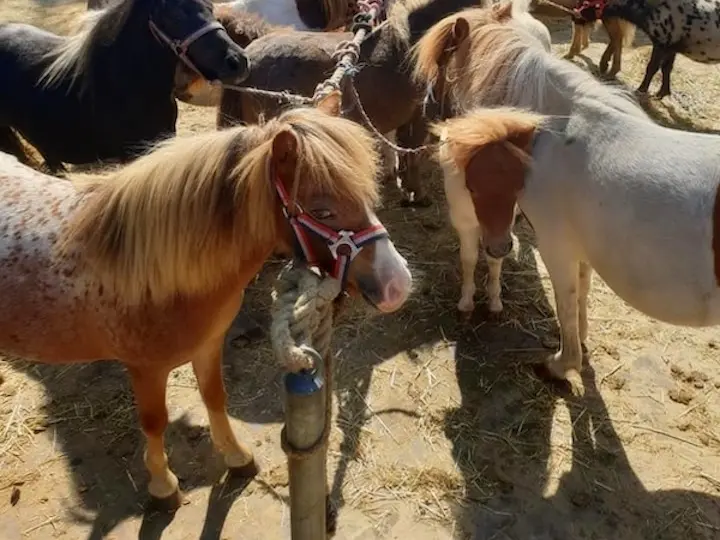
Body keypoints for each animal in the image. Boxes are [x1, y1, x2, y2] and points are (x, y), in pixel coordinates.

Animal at [0, 96, 414, 506]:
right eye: (322, 210)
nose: (397, 284)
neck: (152, 268)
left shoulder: (208, 345)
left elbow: (215, 396)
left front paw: (236, 457)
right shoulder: (145, 369)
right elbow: (155, 422)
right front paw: (163, 485)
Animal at [434, 102, 720, 384]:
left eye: (517, 187)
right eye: (471, 187)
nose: (500, 246)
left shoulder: (557, 248)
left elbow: (566, 307)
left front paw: (560, 364)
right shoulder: (580, 246)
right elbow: (581, 291)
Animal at [576, 0, 720, 97]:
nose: (576, 16)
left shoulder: (662, 41)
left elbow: (652, 67)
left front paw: (640, 90)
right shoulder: (671, 47)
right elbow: (666, 68)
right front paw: (661, 94)